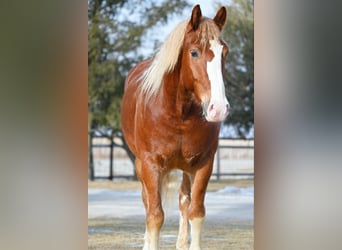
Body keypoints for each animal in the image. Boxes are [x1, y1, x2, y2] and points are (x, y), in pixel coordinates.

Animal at [121, 4, 230, 250]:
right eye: (194, 52)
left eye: (224, 52)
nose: (218, 108)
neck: (179, 114)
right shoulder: (151, 165)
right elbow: (154, 215)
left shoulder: (203, 165)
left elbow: (195, 212)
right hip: (141, 166)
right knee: (148, 202)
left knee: (184, 201)